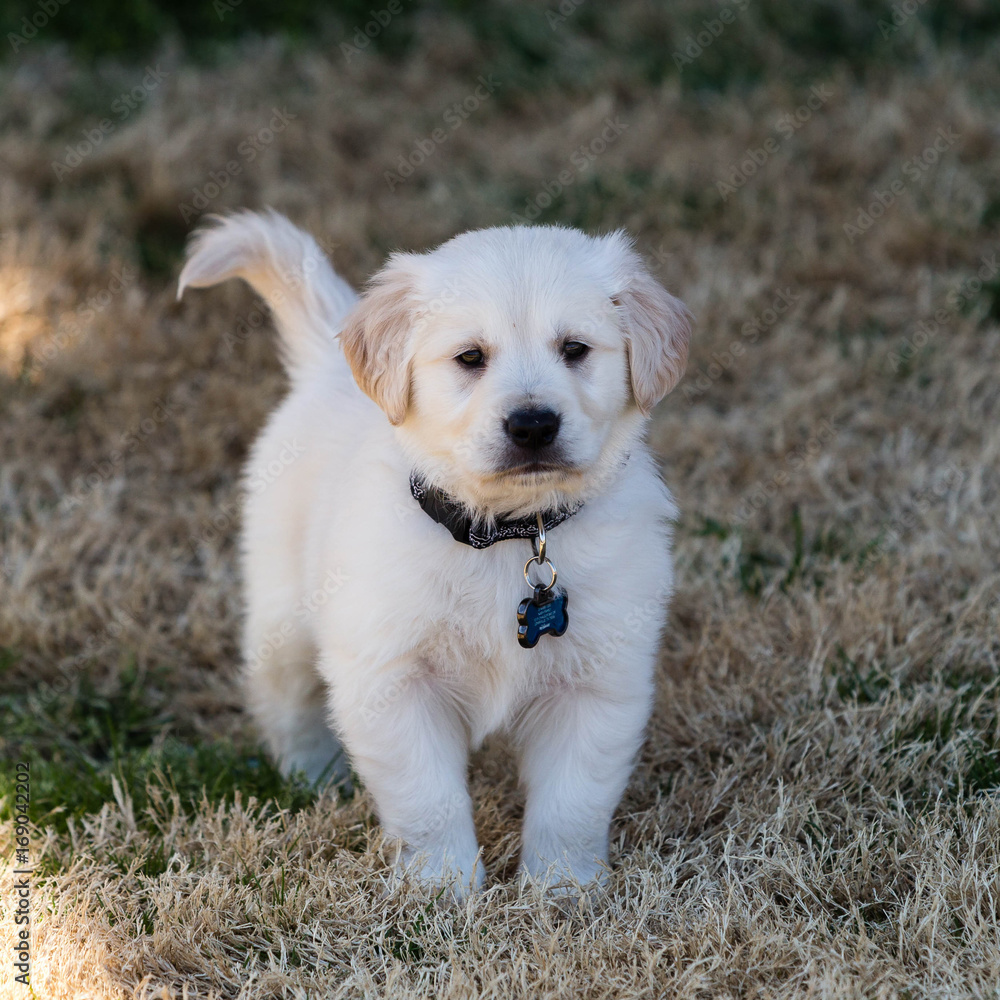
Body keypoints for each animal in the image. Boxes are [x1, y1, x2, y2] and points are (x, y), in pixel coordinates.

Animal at [178, 207, 688, 896]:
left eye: (575, 350)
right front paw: (443, 889)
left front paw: (561, 890)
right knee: (288, 703)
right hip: (281, 616)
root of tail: (327, 368)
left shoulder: (600, 682)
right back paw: (314, 781)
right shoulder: (392, 678)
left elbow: (571, 802)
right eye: (470, 357)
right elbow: (428, 798)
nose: (533, 425)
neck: (507, 533)